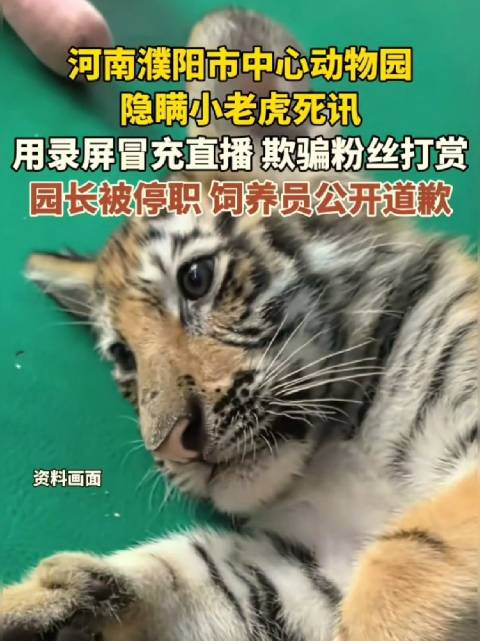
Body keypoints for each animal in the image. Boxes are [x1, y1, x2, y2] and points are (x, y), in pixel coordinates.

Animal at [0, 9, 478, 641]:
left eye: (197, 279)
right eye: (124, 356)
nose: (173, 448)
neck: (338, 448)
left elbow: (404, 563)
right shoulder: (310, 573)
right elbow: (192, 581)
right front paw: (40, 603)